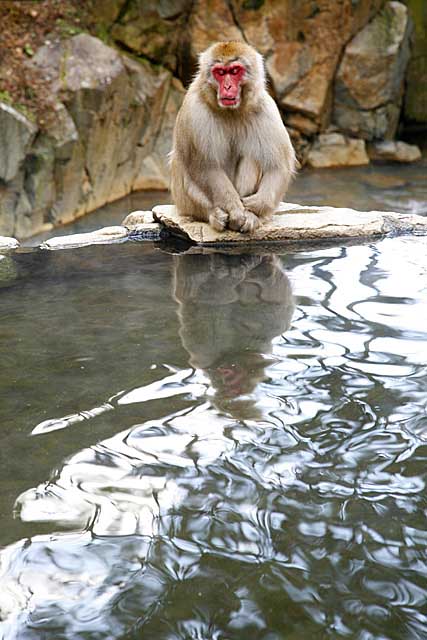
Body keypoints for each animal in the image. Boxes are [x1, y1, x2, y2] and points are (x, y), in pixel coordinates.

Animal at [169, 40, 296, 235]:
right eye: (220, 73)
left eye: (235, 71)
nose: (227, 87)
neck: (230, 111)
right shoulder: (194, 110)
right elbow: (206, 167)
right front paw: (235, 209)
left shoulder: (265, 107)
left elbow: (278, 166)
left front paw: (256, 205)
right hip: (184, 204)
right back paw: (214, 214)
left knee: (253, 156)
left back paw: (251, 217)